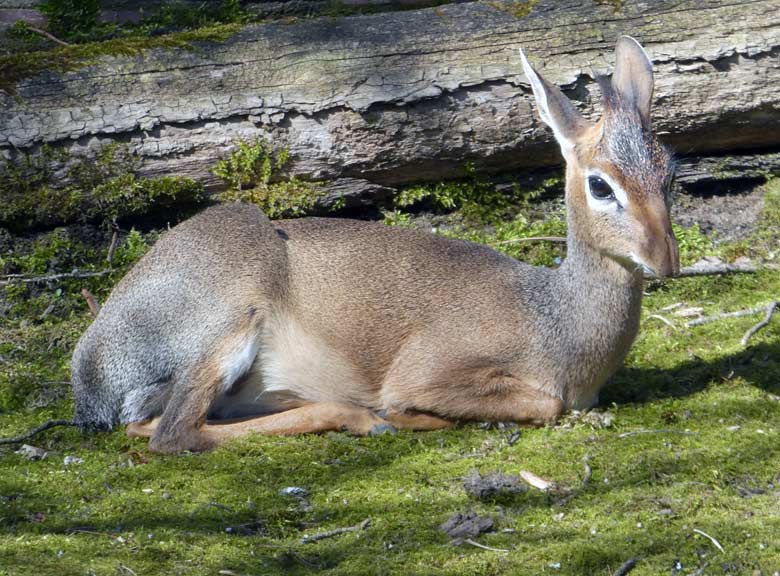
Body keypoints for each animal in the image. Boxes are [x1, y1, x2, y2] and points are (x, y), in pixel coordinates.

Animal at [71, 37, 676, 454]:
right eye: (601, 184)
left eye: (668, 171)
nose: (665, 259)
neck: (555, 322)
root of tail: (90, 368)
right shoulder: (427, 369)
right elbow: (543, 403)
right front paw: (407, 412)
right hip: (226, 320)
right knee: (171, 432)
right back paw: (369, 417)